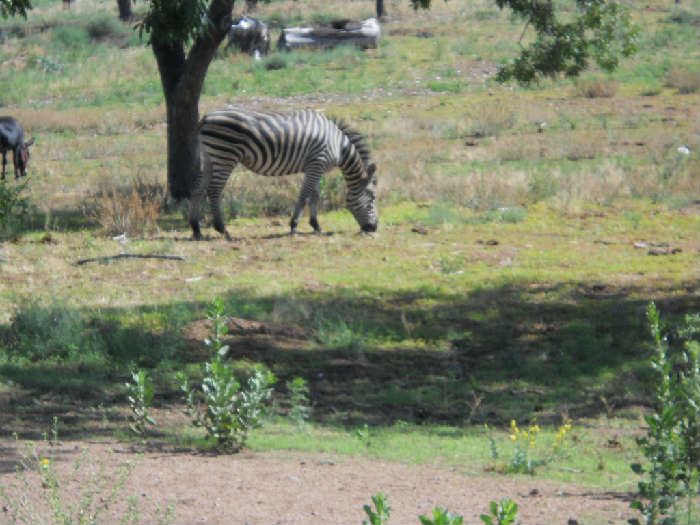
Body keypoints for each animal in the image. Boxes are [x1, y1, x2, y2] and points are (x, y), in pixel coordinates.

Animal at [190, 108, 378, 239]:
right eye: (372, 199)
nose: (374, 228)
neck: (339, 146)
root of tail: (206, 117)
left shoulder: (316, 167)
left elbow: (314, 195)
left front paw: (316, 225)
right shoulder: (317, 162)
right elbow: (305, 194)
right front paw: (294, 226)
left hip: (210, 157)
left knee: (198, 190)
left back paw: (196, 229)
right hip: (225, 156)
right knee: (214, 191)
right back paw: (223, 230)